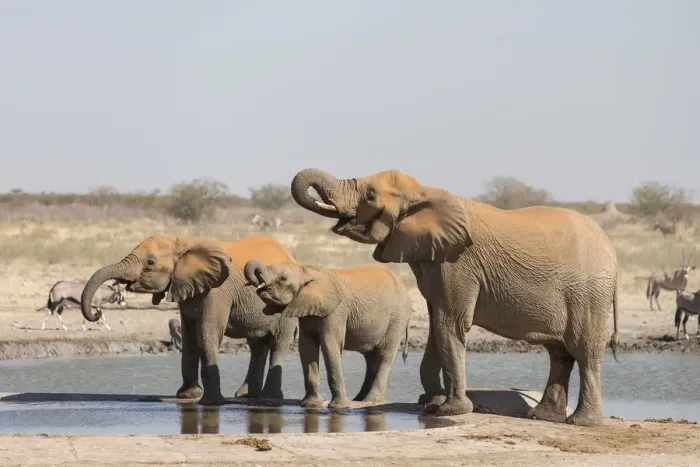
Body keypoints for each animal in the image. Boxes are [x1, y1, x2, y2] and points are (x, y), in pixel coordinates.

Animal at [80, 235, 298, 405]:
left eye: (150, 263)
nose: (96, 314)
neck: (182, 244)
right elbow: (189, 337)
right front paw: (187, 396)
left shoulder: (216, 291)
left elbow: (207, 334)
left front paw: (211, 402)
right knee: (257, 345)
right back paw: (245, 396)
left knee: (279, 342)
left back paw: (269, 397)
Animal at [243, 259, 412, 409]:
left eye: (283, 278)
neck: (306, 271)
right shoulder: (307, 310)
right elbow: (306, 348)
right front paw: (310, 405)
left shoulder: (336, 311)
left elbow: (330, 345)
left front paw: (339, 407)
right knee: (371, 358)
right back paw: (359, 400)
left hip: (397, 318)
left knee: (385, 355)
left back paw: (370, 401)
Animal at [289, 168, 621, 427]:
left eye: (370, 195)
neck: (423, 192)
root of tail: (612, 252)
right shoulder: (432, 260)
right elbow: (437, 325)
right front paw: (433, 404)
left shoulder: (458, 263)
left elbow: (451, 323)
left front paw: (451, 409)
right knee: (560, 352)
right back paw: (543, 417)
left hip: (588, 293)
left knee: (584, 349)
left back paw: (582, 422)